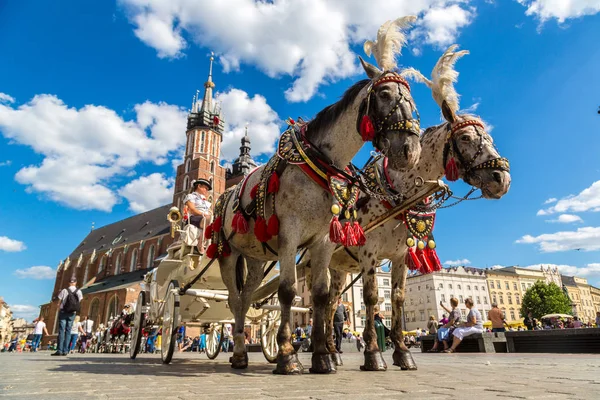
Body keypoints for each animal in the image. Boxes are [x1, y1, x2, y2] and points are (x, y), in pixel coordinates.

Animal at [213, 17, 424, 374]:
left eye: (412, 98)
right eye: (384, 93)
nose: (409, 150)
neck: (320, 165)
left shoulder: (323, 241)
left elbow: (323, 296)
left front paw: (323, 357)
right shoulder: (289, 235)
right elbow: (287, 292)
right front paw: (288, 356)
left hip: (256, 259)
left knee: (245, 298)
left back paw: (241, 354)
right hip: (228, 254)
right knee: (233, 299)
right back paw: (242, 352)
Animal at [322, 44, 512, 372]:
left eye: (489, 138)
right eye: (465, 137)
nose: (502, 178)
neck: (399, 192)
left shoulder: (399, 257)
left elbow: (397, 298)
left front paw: (402, 353)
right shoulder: (369, 253)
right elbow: (372, 298)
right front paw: (373, 354)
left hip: (339, 267)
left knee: (332, 303)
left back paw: (332, 353)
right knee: (318, 303)